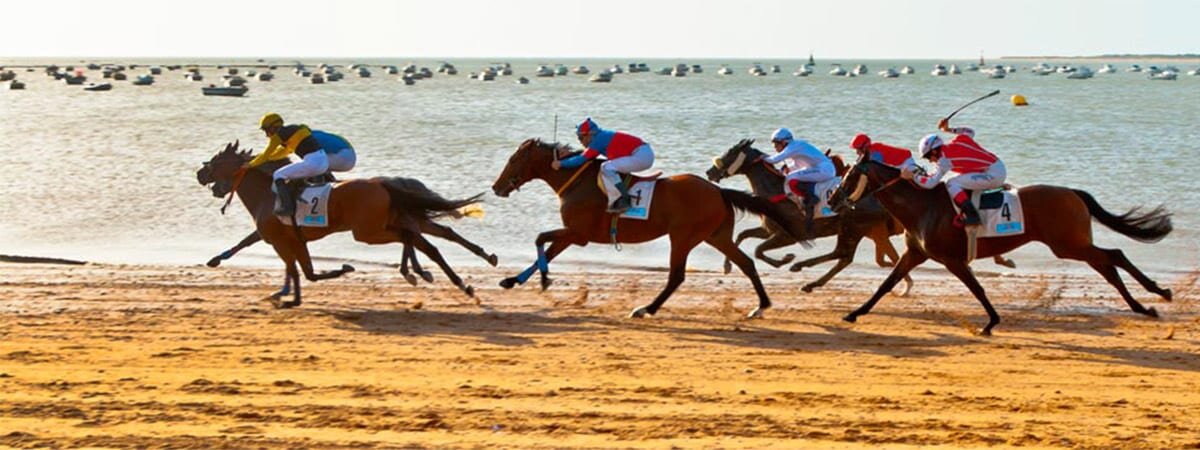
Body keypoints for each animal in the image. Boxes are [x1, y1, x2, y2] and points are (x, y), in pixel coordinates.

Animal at [199, 142, 489, 309]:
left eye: (215, 161)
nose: (200, 174)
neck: (268, 192)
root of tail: (383, 184)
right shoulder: (289, 239)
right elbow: (286, 263)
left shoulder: (281, 240)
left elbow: (301, 270)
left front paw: (290, 295)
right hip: (385, 225)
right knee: (430, 241)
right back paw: (461, 279)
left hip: (368, 231)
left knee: (415, 238)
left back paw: (418, 272)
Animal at [492, 139, 811, 319]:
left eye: (512, 160)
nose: (496, 187)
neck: (578, 181)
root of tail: (719, 191)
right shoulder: (573, 233)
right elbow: (545, 251)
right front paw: (515, 280)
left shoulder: (577, 234)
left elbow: (540, 240)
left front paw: (542, 279)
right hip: (715, 236)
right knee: (745, 263)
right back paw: (760, 306)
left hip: (683, 236)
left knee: (677, 275)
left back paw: (647, 308)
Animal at [835, 154, 1171, 336]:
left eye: (849, 176)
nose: (833, 197)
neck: (922, 206)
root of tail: (1073, 192)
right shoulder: (915, 253)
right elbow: (886, 284)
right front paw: (854, 313)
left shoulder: (952, 260)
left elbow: (977, 289)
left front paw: (991, 322)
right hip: (1073, 244)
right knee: (1107, 265)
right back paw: (1142, 305)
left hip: (1067, 244)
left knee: (1115, 255)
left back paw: (1159, 293)